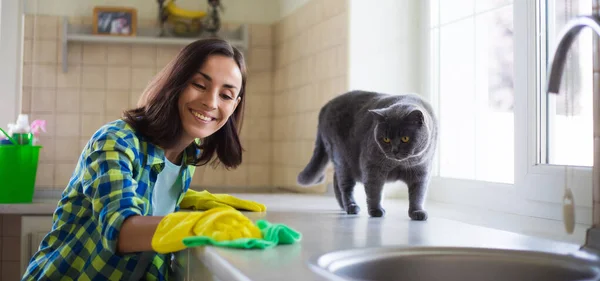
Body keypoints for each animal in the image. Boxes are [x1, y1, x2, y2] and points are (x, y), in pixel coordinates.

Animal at [298, 89, 438, 219]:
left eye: (405, 138)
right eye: (386, 139)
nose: (394, 150)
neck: (400, 164)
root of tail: (326, 105)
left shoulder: (421, 171)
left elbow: (418, 194)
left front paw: (417, 212)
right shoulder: (372, 167)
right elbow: (374, 191)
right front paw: (376, 211)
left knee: (336, 180)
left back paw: (344, 206)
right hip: (342, 158)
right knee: (344, 185)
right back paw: (352, 207)